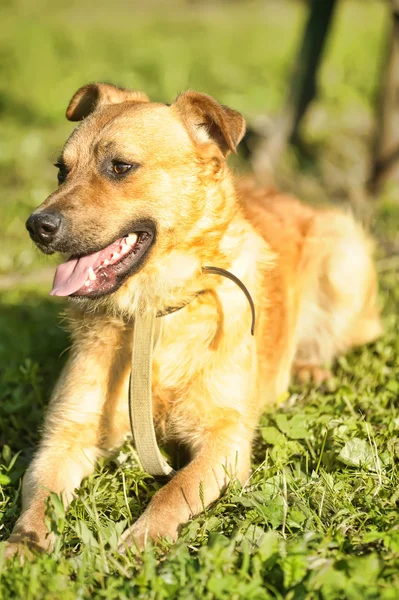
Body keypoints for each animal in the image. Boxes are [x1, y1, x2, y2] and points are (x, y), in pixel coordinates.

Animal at [5, 81, 382, 556]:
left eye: (121, 167)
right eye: (61, 170)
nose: (36, 226)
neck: (153, 314)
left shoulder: (225, 440)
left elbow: (175, 489)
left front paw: (143, 540)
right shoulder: (64, 434)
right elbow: (39, 498)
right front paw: (22, 545)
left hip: (343, 257)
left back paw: (310, 369)